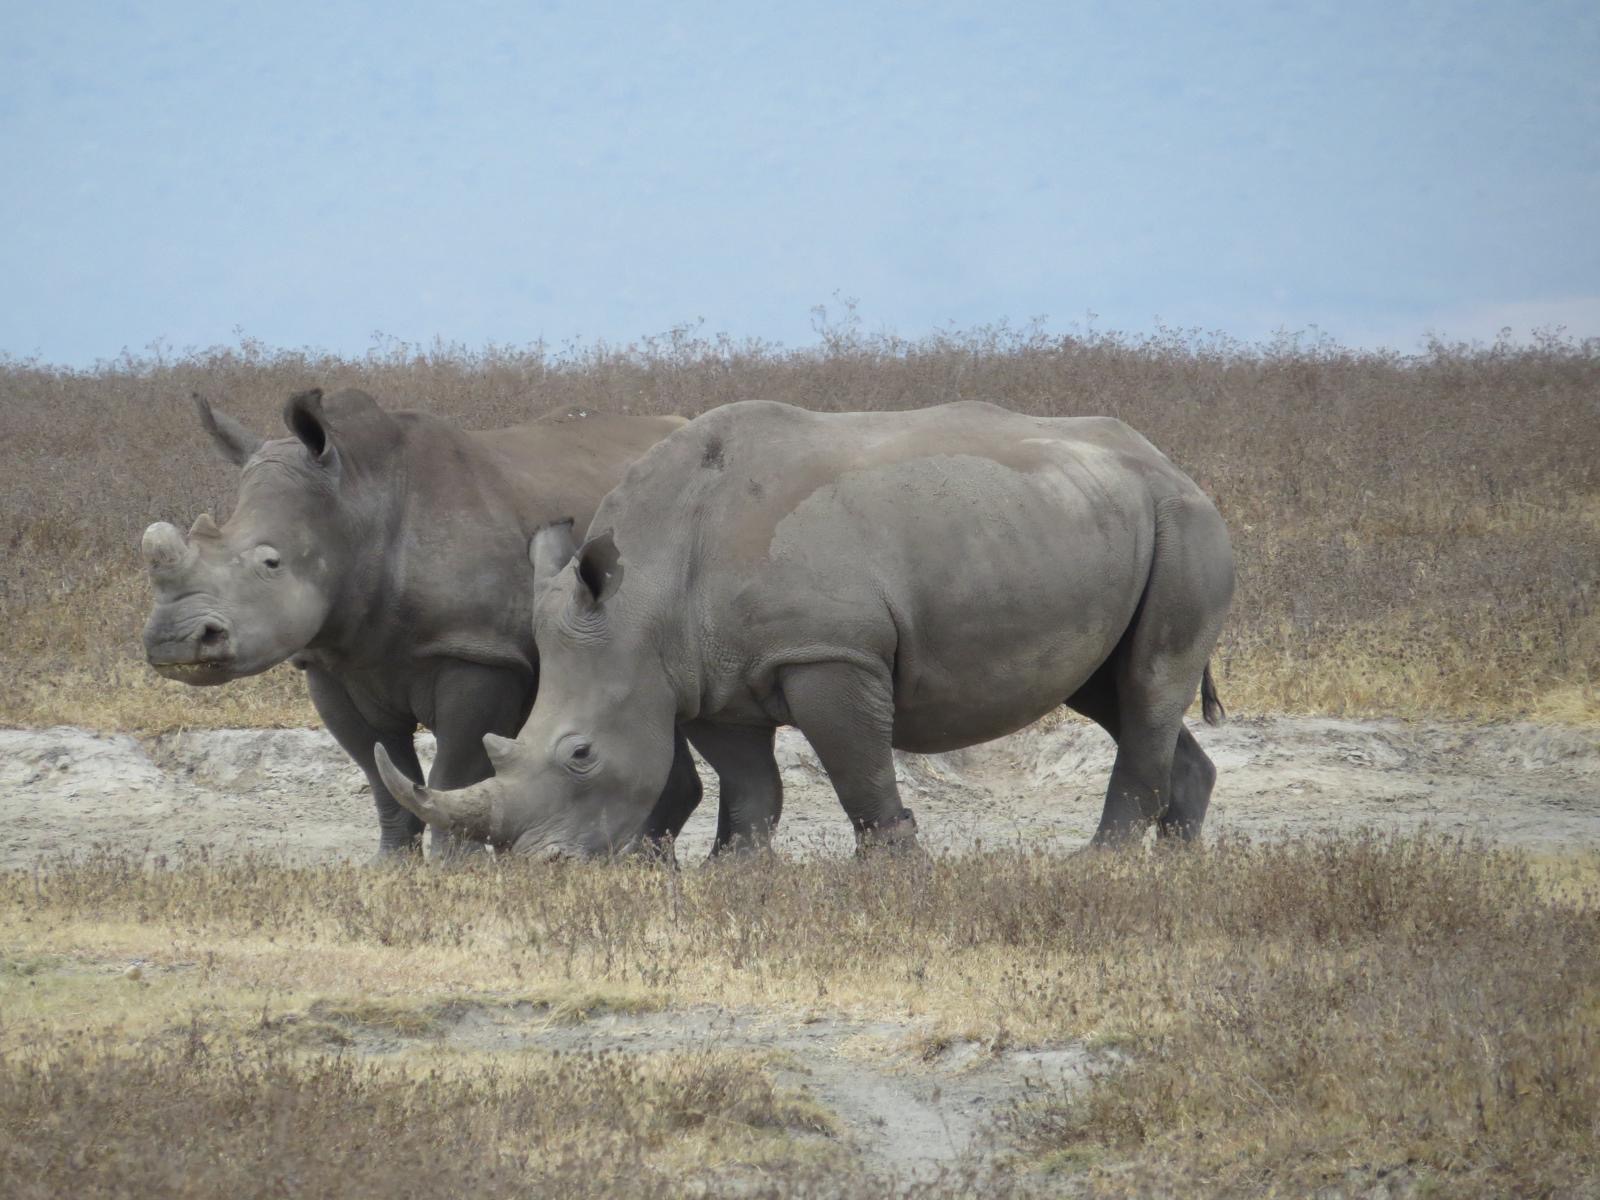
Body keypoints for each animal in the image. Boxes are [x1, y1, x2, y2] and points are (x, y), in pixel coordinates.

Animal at [141, 387, 703, 857]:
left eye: (270, 563)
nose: (174, 641)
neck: (356, 503)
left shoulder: (477, 653)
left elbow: (453, 770)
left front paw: (452, 870)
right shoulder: (329, 660)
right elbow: (381, 772)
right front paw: (392, 867)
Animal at [375, 399, 1236, 855]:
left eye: (579, 755)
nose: (540, 866)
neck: (643, 598)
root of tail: (1172, 463)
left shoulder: (830, 653)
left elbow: (858, 769)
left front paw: (893, 869)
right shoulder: (703, 673)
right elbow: (751, 781)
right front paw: (734, 872)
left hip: (1184, 523)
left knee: (1148, 682)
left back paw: (1101, 863)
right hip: (1090, 519)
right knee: (1111, 690)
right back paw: (1175, 860)